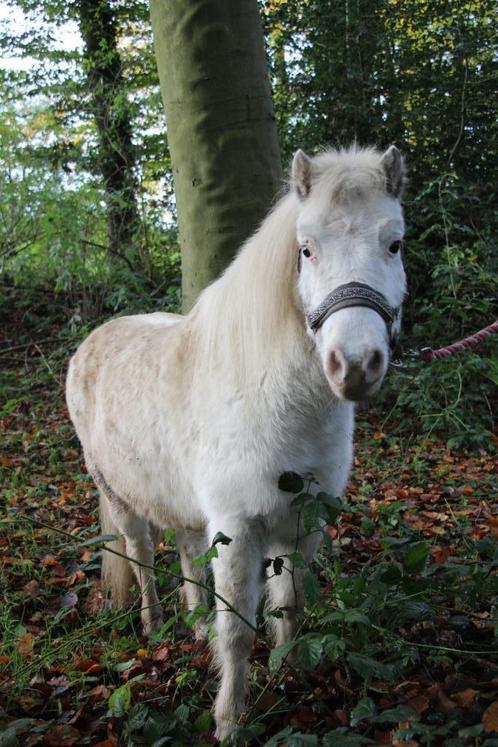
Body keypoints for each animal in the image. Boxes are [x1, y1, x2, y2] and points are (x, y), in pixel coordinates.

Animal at [66, 143, 406, 740]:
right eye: (306, 249)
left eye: (394, 243)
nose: (355, 365)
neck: (272, 398)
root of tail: (93, 340)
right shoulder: (239, 530)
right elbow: (239, 631)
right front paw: (229, 721)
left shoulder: (301, 521)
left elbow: (289, 609)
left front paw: (295, 676)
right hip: (117, 496)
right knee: (140, 555)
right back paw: (156, 625)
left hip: (183, 508)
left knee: (184, 551)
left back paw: (193, 628)